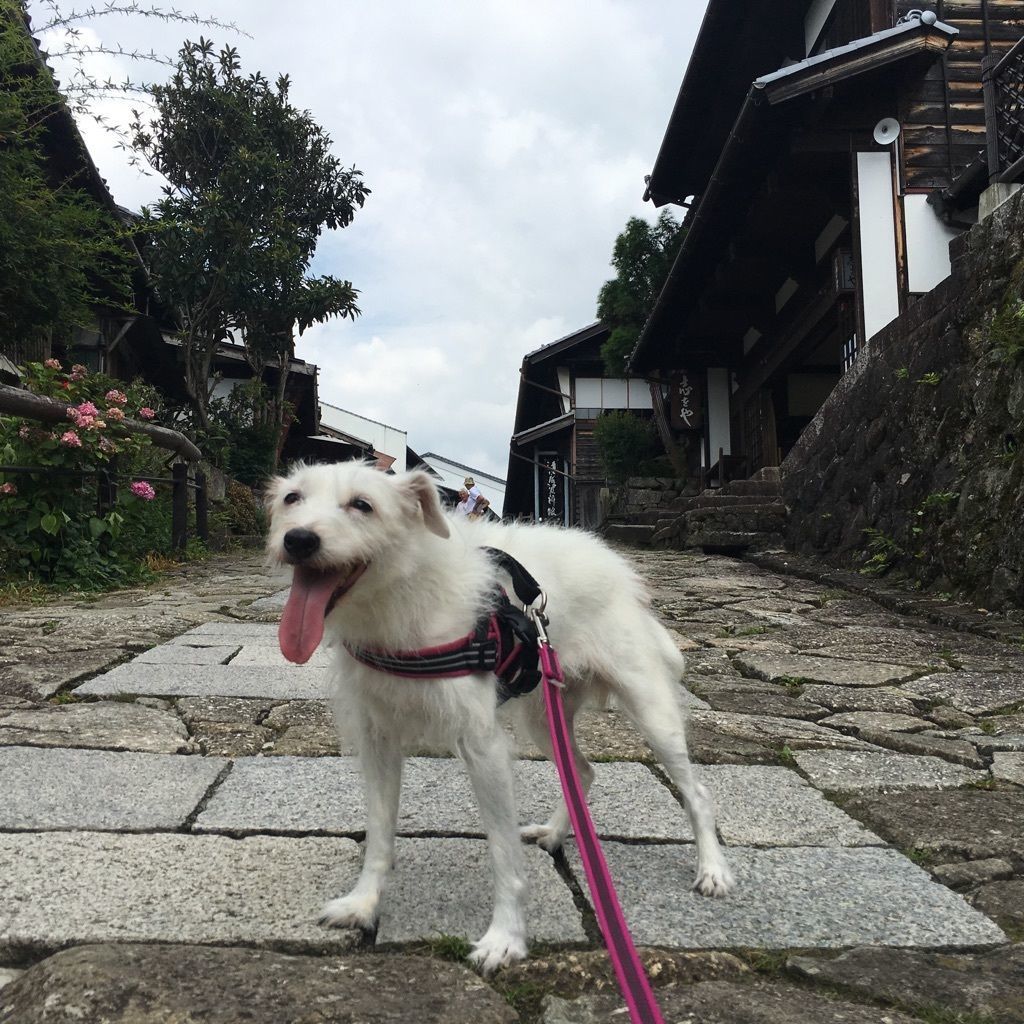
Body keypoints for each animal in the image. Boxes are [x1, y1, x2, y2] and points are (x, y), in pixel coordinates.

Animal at [264, 464, 729, 974]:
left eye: (362, 505)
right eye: (291, 499)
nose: (298, 539)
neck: (401, 594)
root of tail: (619, 571)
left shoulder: (481, 744)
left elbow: (503, 853)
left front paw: (505, 938)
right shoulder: (378, 739)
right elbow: (380, 833)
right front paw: (363, 903)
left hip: (649, 709)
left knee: (697, 793)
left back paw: (713, 869)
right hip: (544, 716)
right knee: (583, 770)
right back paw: (554, 833)